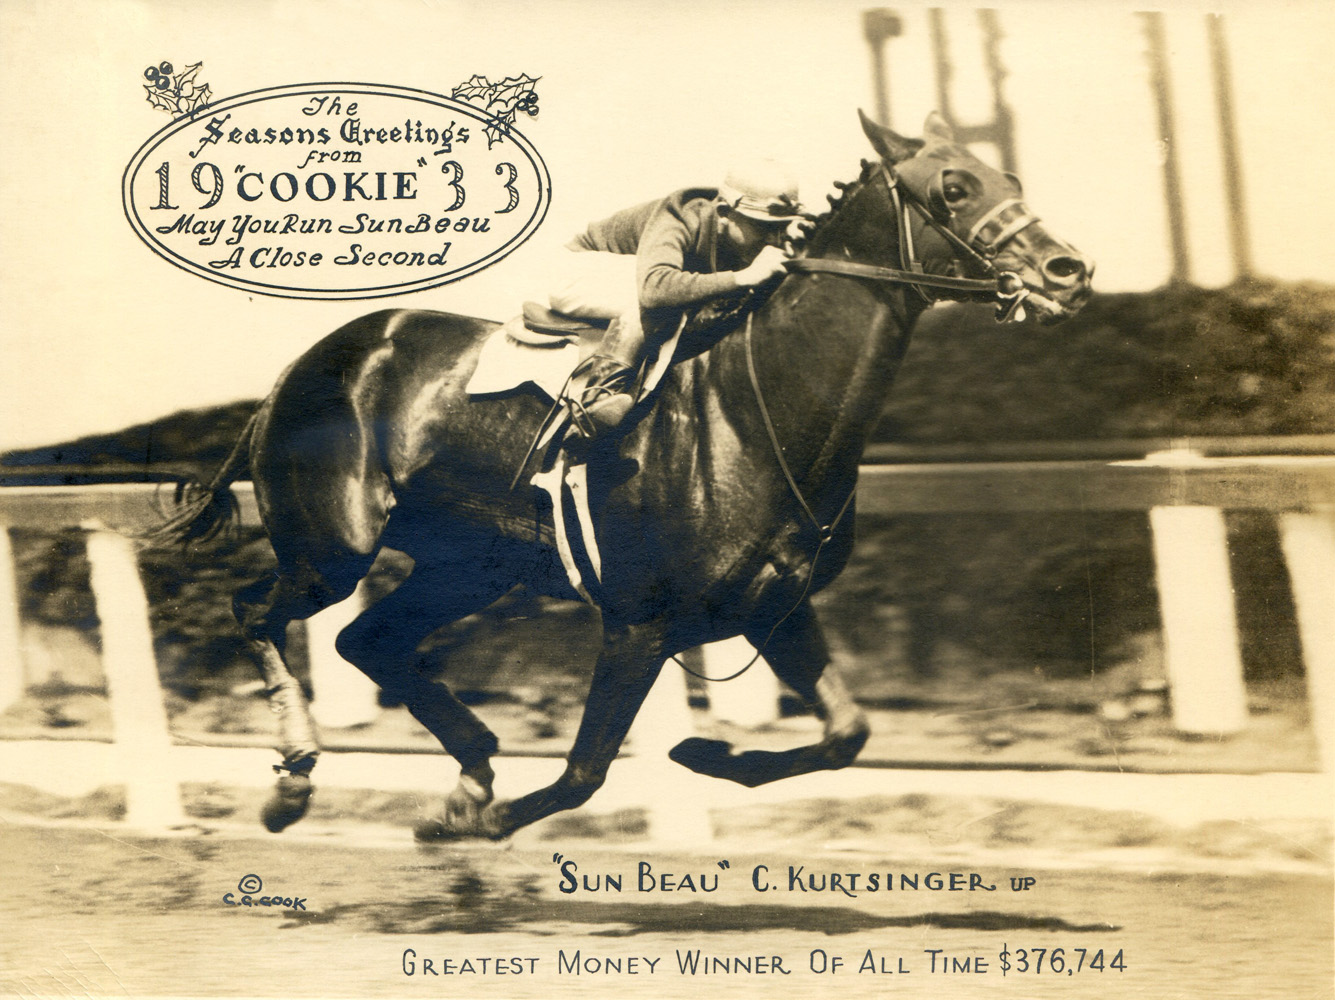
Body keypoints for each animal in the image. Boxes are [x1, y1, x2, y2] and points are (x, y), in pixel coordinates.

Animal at [161, 112, 1089, 838]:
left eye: (1005, 174)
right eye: (953, 188)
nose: (1067, 271)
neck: (753, 411)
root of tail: (290, 376)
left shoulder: (774, 607)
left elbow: (846, 735)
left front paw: (707, 748)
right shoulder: (638, 619)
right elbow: (585, 770)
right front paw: (493, 820)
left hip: (470, 564)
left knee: (369, 640)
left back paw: (470, 770)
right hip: (332, 549)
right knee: (256, 611)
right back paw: (297, 775)